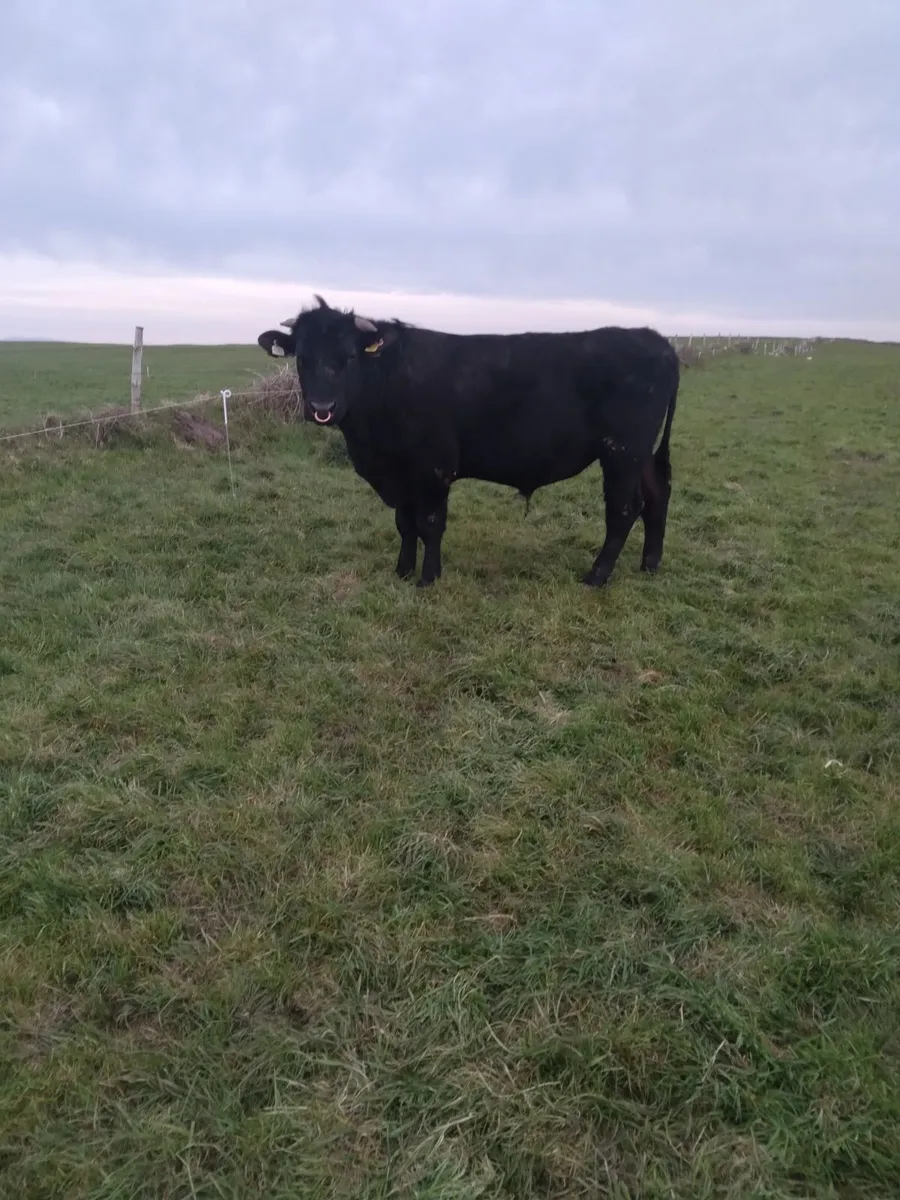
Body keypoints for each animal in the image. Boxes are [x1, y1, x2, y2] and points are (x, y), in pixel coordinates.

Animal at [257, 295, 679, 589]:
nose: (321, 408)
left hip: (621, 451)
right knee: (656, 495)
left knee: (624, 508)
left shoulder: (433, 468)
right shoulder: (399, 475)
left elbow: (429, 524)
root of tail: (655, 338)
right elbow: (404, 524)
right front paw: (402, 571)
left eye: (348, 356)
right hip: (638, 454)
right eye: (301, 358)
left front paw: (428, 579)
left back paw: (596, 576)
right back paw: (650, 564)